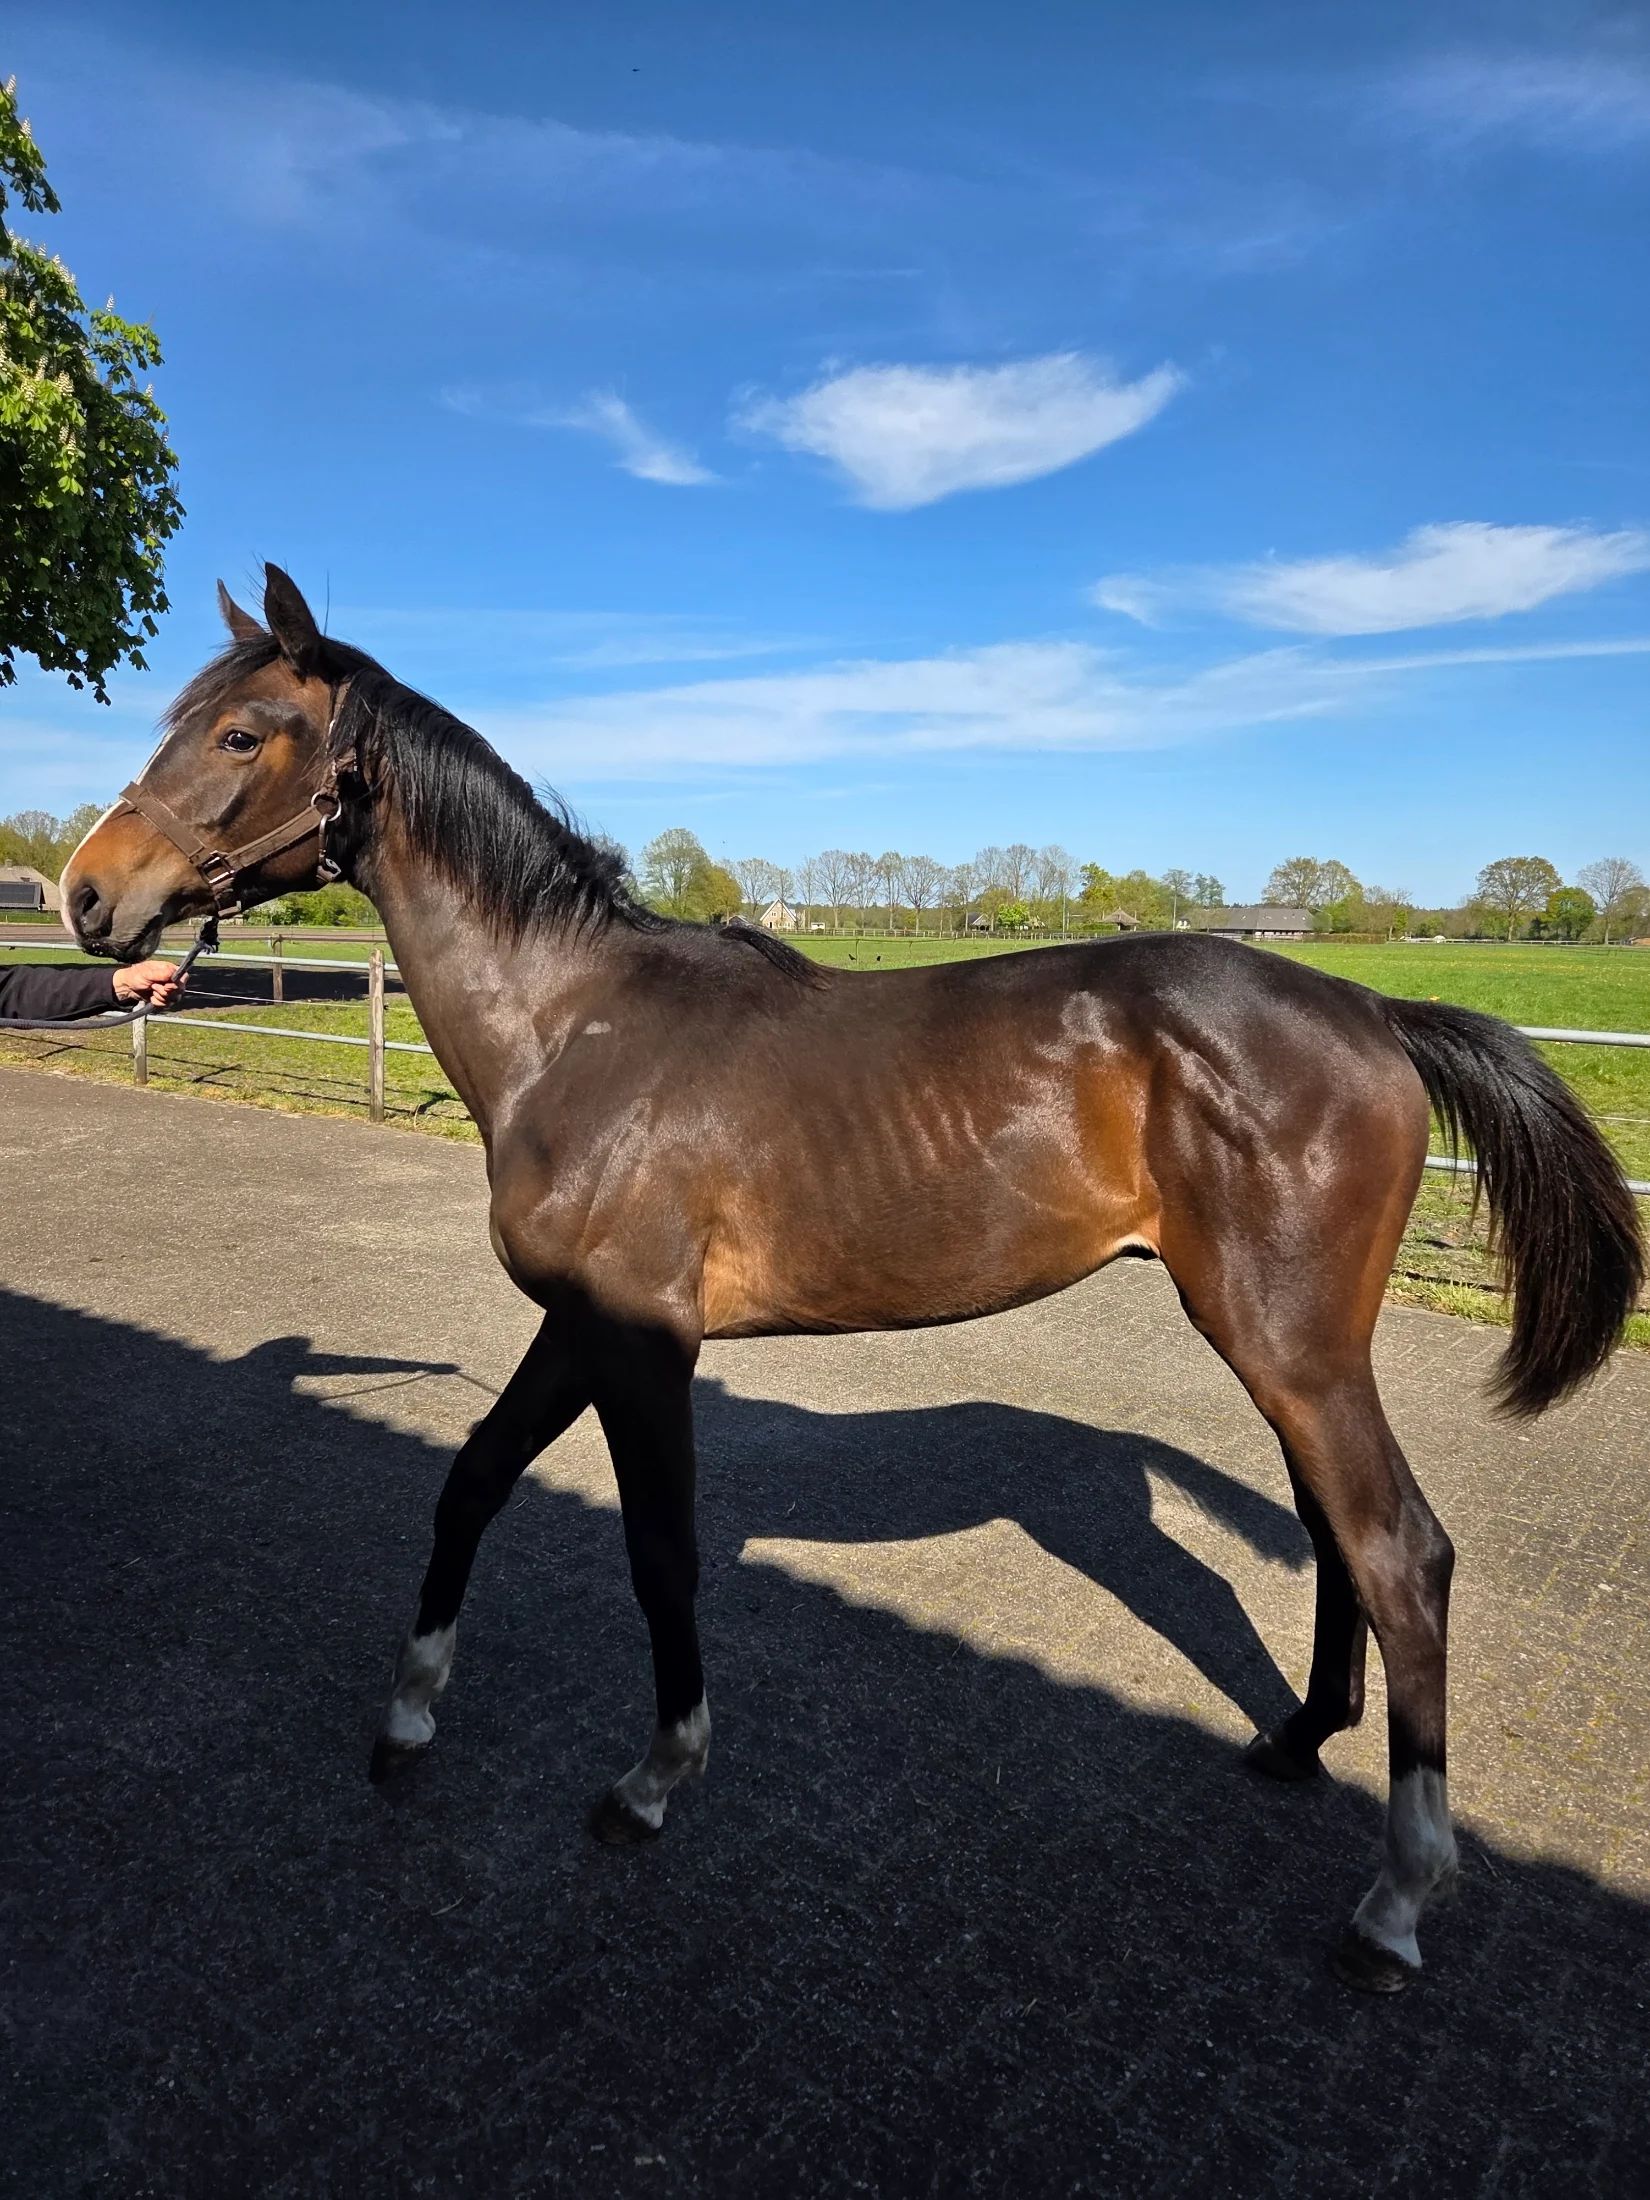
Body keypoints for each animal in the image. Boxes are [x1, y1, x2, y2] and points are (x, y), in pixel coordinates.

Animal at [63, 566, 1643, 1993]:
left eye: (242, 733)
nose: (86, 893)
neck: (575, 1029)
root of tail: (1370, 1008)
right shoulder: (577, 1330)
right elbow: (470, 1482)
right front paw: (406, 1721)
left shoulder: (644, 1344)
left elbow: (662, 1552)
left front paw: (652, 1781)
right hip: (1291, 1348)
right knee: (1339, 1540)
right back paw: (1295, 1743)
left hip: (1286, 1342)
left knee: (1401, 1554)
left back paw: (1395, 1905)